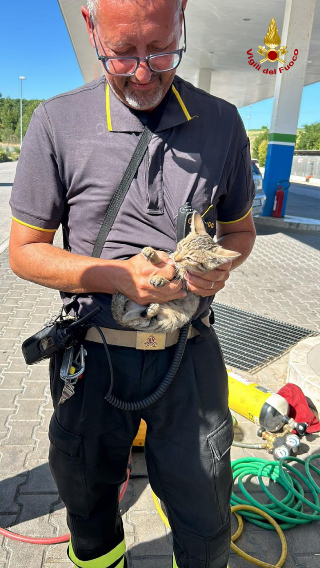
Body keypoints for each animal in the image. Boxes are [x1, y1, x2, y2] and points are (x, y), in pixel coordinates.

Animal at [112, 212, 240, 332]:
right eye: (180, 247)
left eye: (190, 259)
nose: (177, 259)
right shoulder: (172, 258)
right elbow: (166, 261)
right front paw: (152, 254)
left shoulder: (186, 287)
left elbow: (175, 279)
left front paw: (160, 279)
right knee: (126, 319)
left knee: (133, 321)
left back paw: (150, 311)